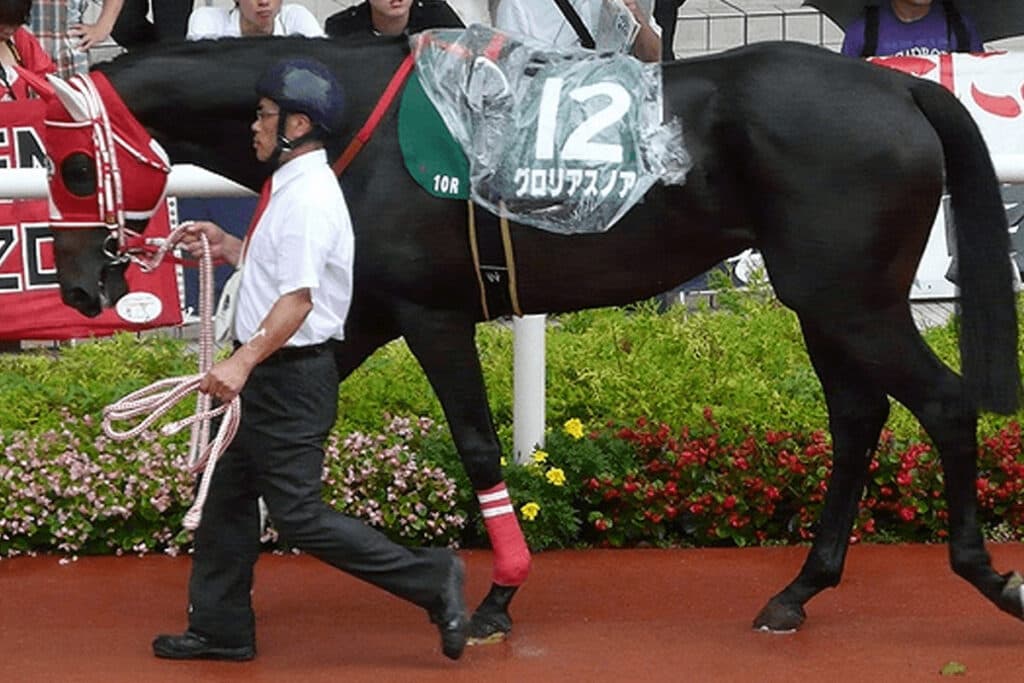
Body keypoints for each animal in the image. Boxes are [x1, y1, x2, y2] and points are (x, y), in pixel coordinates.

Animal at [40, 34, 1023, 640]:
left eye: (74, 164)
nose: (81, 284)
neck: (350, 127)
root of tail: (899, 82)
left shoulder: (428, 311)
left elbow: (477, 443)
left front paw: (496, 594)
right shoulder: (360, 309)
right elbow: (255, 413)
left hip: (852, 299)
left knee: (941, 404)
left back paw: (986, 573)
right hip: (825, 301)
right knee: (858, 418)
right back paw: (797, 590)